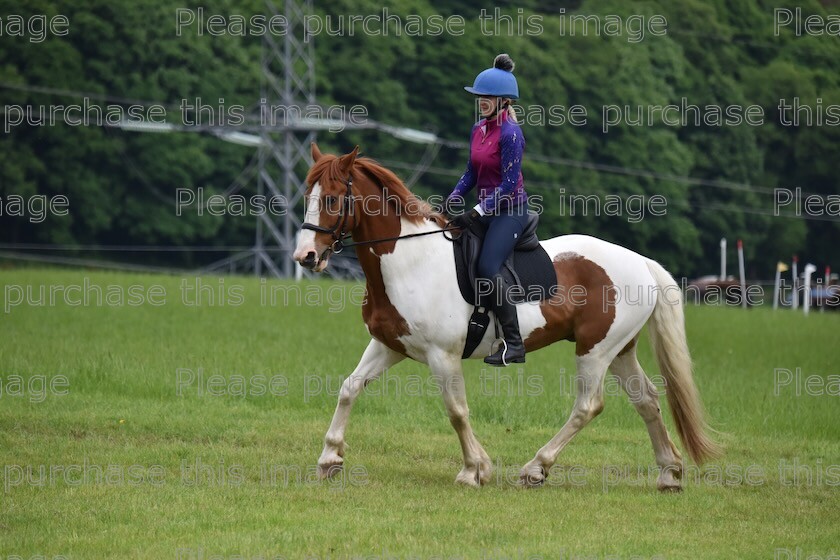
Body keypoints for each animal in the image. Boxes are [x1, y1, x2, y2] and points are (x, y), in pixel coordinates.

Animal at [292, 144, 720, 490]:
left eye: (333, 200)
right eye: (307, 197)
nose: (306, 257)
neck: (409, 261)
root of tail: (642, 262)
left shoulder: (442, 355)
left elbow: (456, 411)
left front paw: (474, 470)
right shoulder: (389, 346)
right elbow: (349, 388)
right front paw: (330, 459)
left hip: (595, 351)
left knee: (588, 406)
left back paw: (536, 468)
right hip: (620, 350)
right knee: (647, 400)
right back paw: (669, 473)